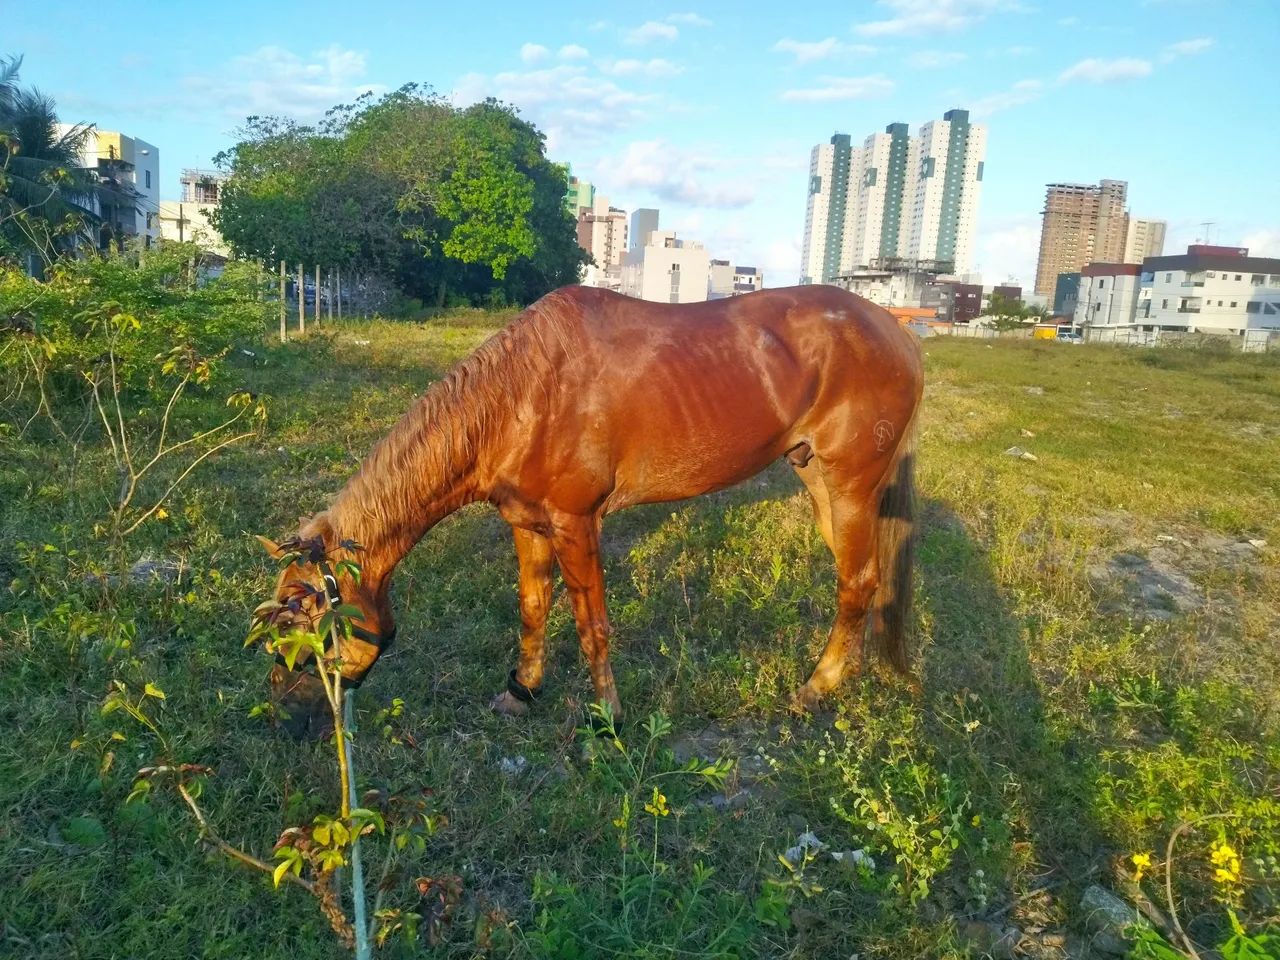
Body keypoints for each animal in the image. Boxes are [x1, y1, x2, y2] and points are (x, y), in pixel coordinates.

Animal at [258, 284, 923, 737]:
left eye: (298, 625)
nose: (283, 717)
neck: (522, 394)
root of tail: (899, 333)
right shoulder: (527, 524)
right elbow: (533, 610)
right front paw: (521, 692)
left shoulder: (576, 524)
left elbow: (590, 623)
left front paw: (607, 719)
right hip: (819, 484)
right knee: (862, 579)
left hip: (849, 487)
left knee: (857, 582)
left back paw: (816, 688)